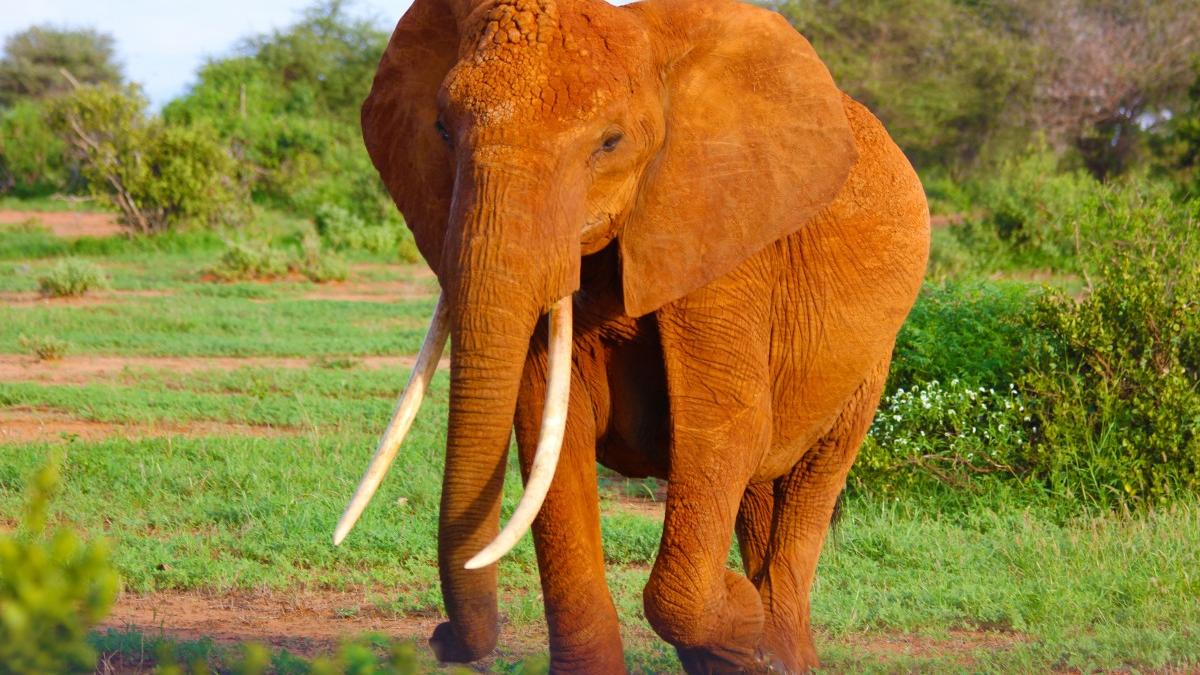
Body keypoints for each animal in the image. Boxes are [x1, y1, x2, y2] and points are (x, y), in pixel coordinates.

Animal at [333, 0, 930, 671]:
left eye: (610, 142)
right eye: (440, 129)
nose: (438, 638)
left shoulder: (723, 241)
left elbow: (723, 431)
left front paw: (738, 609)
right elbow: (549, 432)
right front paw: (731, 624)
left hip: (875, 356)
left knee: (812, 478)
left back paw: (769, 635)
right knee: (758, 491)